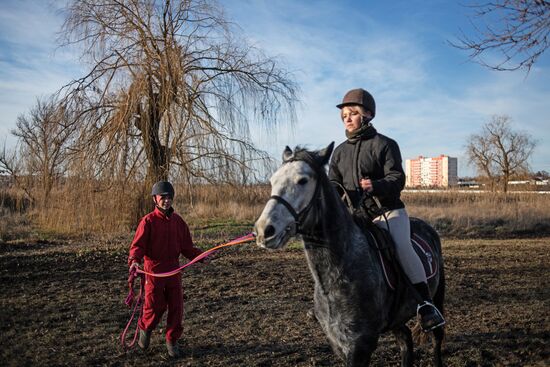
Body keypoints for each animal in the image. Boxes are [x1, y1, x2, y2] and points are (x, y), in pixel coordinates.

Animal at [256, 144, 446, 367]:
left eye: (302, 180)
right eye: (272, 181)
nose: (264, 230)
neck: (337, 275)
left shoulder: (360, 345)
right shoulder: (339, 343)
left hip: (437, 299)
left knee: (437, 338)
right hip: (395, 319)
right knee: (406, 340)